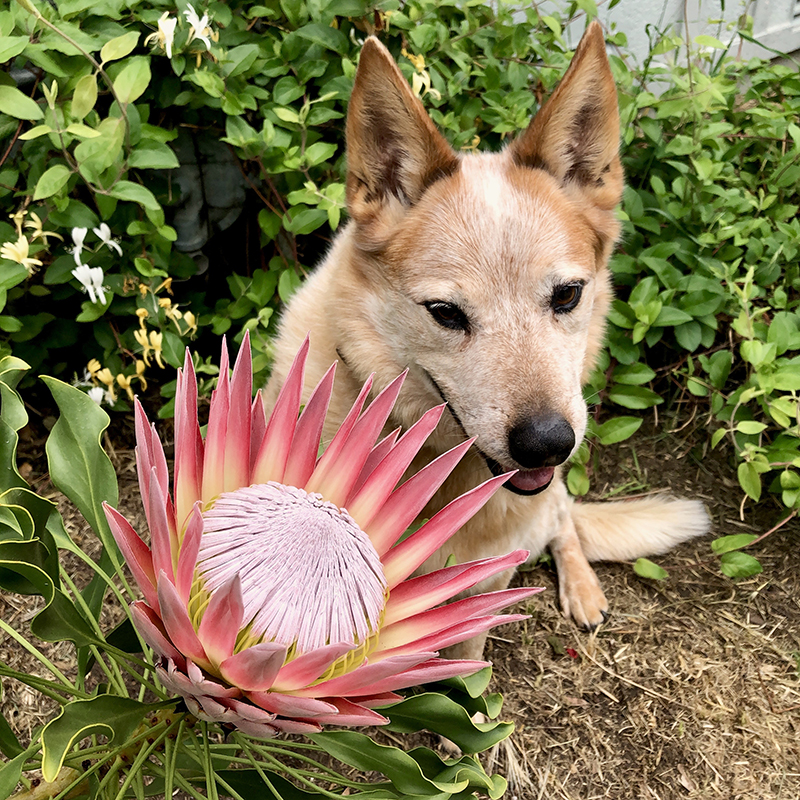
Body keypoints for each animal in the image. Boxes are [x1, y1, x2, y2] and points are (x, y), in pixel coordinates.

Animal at [266, 21, 708, 660]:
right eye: (445, 313)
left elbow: (469, 657)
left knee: (564, 523)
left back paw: (584, 589)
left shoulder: (490, 580)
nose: (548, 444)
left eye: (567, 295)